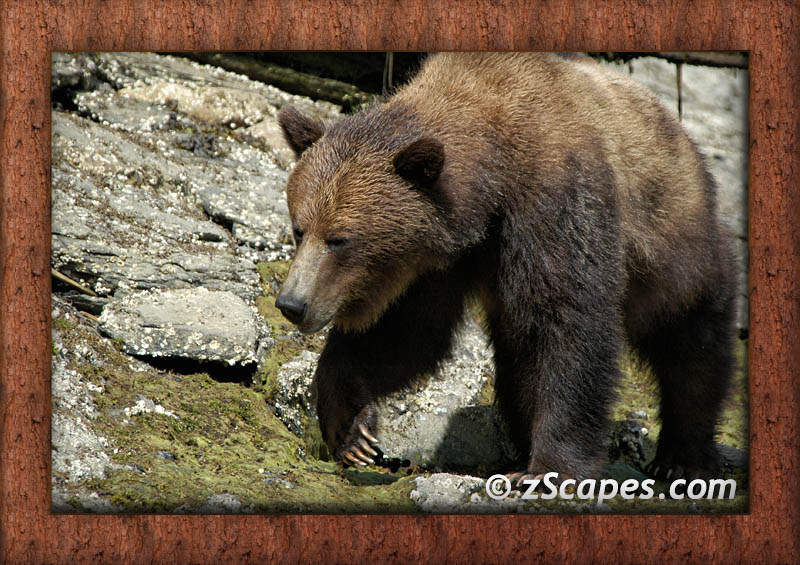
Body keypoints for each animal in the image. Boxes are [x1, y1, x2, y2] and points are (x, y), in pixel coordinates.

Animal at [274, 52, 737, 483]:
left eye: (340, 239)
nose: (292, 303)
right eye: (300, 229)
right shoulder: (442, 260)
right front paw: (352, 430)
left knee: (692, 346)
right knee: (515, 359)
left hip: (677, 246)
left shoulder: (554, 205)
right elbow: (410, 335)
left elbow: (566, 323)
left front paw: (551, 467)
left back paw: (682, 457)